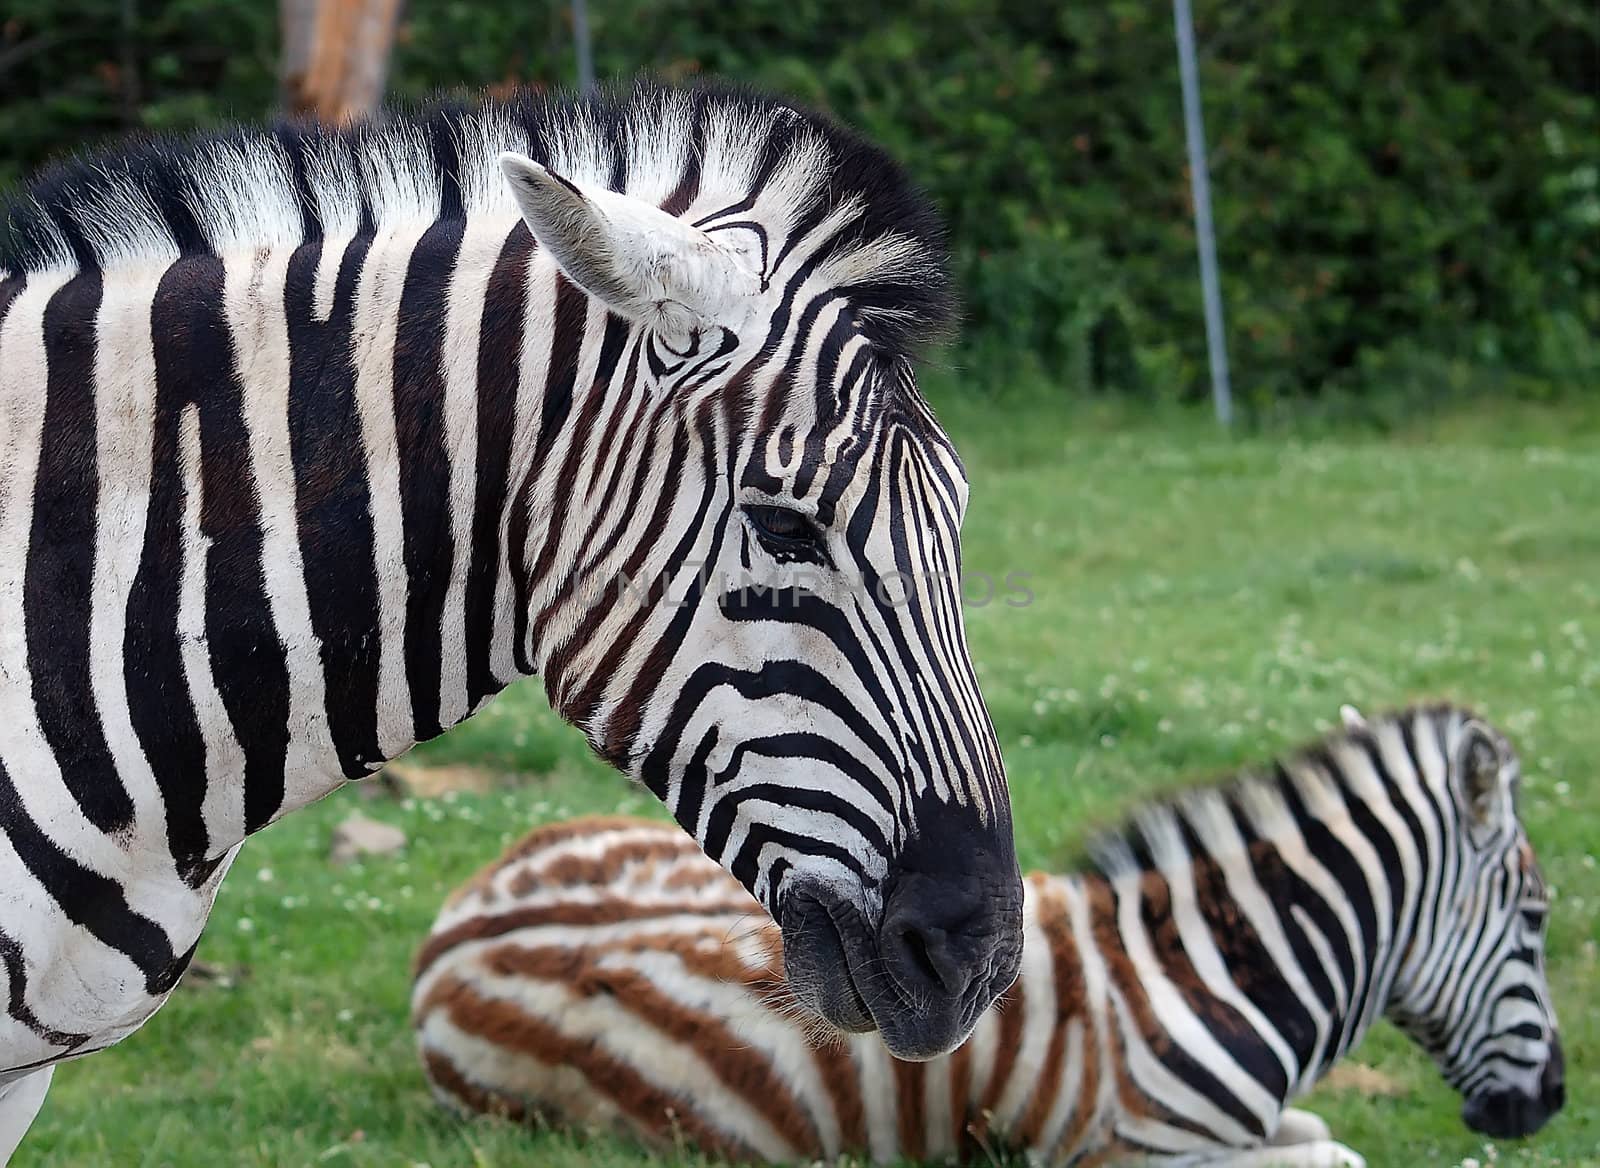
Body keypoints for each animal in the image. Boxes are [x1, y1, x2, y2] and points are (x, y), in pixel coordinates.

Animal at [412, 700, 1561, 1164]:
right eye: (1539, 919)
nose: (1549, 1105)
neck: (1205, 972)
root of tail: (445, 935)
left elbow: (1326, 1136)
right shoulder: (1127, 1156)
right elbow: (1338, 1158)